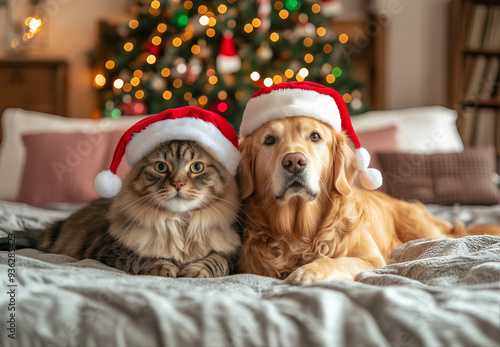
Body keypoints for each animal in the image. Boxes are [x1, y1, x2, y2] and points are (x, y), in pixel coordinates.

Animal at [6, 140, 241, 278]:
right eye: (161, 167)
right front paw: (165, 267)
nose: (177, 184)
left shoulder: (231, 255)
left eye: (197, 167)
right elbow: (143, 258)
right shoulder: (112, 250)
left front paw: (196, 269)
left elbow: (216, 259)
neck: (180, 224)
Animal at [237, 117, 500, 286]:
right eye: (269, 140)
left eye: (315, 136)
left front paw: (306, 272)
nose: (294, 162)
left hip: (427, 232)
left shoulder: (372, 259)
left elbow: (334, 261)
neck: (299, 230)